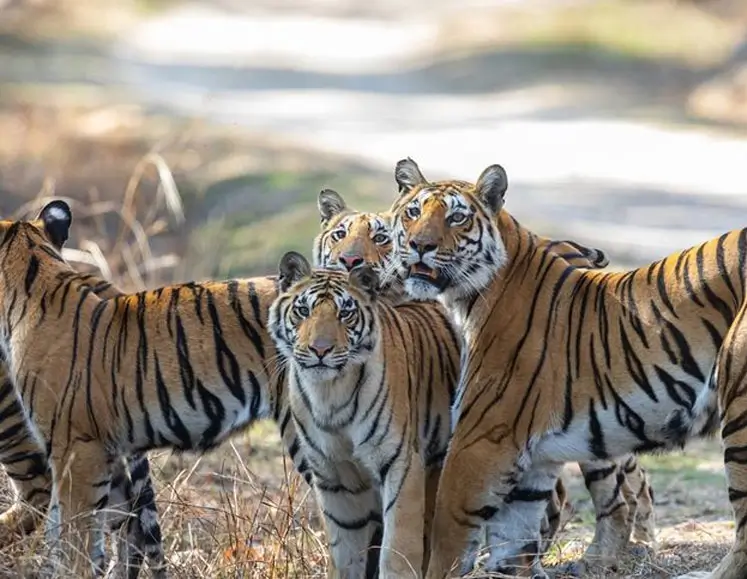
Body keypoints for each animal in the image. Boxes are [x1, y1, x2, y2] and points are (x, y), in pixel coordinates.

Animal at [388, 157, 747, 579]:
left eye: (457, 217)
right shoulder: (532, 467)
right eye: (413, 212)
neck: (471, 298)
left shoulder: (480, 442)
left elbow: (445, 544)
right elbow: (511, 549)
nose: (419, 246)